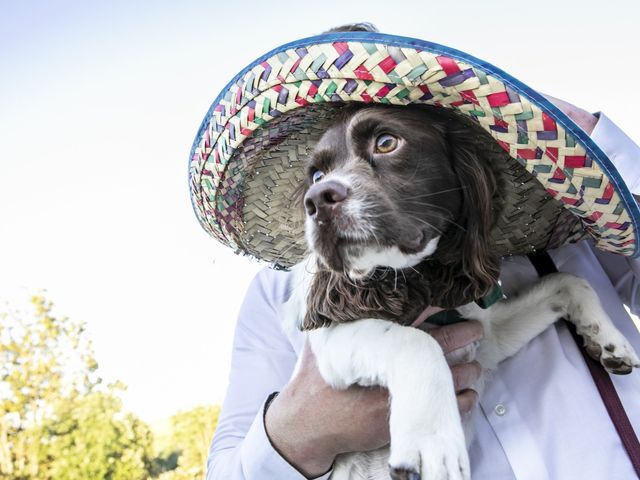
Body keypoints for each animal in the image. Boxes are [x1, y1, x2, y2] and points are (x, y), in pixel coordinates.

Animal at [282, 105, 640, 480]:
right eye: (317, 175)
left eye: (386, 142)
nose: (316, 201)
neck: (423, 282)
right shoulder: (332, 341)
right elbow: (416, 342)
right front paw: (431, 441)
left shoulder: (489, 339)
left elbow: (568, 280)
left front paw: (609, 341)